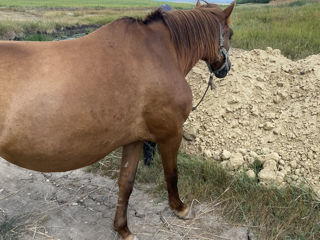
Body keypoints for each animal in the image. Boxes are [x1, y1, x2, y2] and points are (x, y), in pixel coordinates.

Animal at [0, 0, 235, 239]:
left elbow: (126, 183)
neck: (159, 54)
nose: (225, 68)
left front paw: (122, 228)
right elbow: (171, 173)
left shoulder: (134, 139)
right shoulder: (171, 133)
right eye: (231, 34)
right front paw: (180, 208)